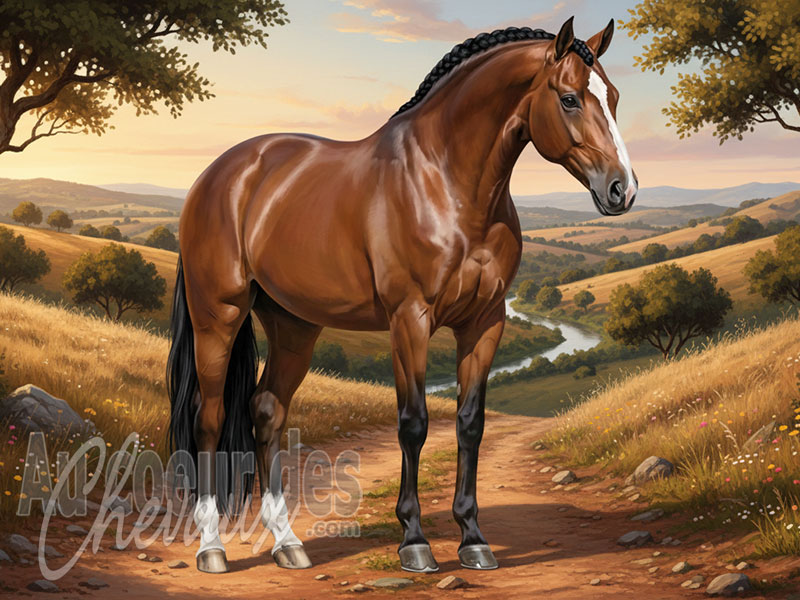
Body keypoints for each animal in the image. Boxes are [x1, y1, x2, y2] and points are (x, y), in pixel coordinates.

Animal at [167, 16, 636, 575]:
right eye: (568, 98)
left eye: (613, 96)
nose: (622, 190)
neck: (445, 182)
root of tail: (219, 174)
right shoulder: (409, 319)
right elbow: (414, 423)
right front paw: (414, 541)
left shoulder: (486, 322)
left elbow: (470, 424)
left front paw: (473, 539)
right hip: (219, 314)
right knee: (209, 417)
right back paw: (211, 549)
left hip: (293, 324)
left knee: (266, 411)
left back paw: (288, 544)